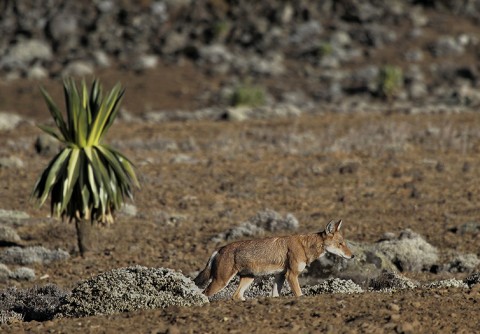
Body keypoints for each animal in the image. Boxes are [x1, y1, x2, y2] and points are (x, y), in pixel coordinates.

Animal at [193, 219, 354, 300]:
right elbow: (299, 294)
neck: (305, 246)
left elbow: (275, 295)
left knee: (236, 296)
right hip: (221, 282)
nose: (352, 256)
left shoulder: (280, 275)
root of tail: (219, 249)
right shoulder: (291, 275)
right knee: (204, 294)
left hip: (248, 279)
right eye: (341, 244)